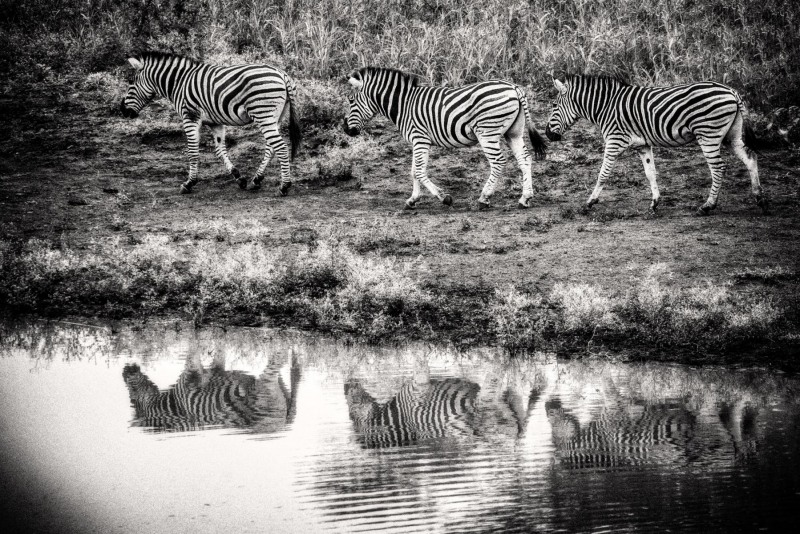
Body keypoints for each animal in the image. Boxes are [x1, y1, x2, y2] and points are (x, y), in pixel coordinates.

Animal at [120, 51, 302, 195]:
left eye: (131, 83)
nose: (123, 111)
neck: (179, 82)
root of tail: (282, 74)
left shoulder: (190, 116)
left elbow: (193, 152)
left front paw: (189, 183)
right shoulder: (216, 123)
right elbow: (219, 150)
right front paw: (238, 177)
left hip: (263, 113)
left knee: (280, 146)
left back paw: (284, 186)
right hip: (275, 117)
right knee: (271, 147)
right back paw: (256, 180)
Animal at [340, 66, 548, 209]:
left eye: (350, 100)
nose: (346, 129)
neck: (403, 104)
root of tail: (514, 87)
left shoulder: (420, 138)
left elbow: (418, 171)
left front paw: (444, 198)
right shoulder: (417, 141)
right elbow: (413, 171)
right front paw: (412, 200)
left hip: (487, 131)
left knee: (498, 162)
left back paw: (484, 199)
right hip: (513, 132)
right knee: (525, 160)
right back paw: (525, 198)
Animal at [544, 75, 764, 216]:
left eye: (554, 106)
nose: (547, 134)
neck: (605, 107)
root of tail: (732, 92)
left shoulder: (614, 141)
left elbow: (603, 173)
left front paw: (590, 202)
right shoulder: (643, 145)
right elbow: (651, 173)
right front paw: (655, 203)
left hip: (708, 134)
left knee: (718, 168)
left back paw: (707, 206)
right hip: (730, 136)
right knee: (750, 157)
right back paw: (759, 197)